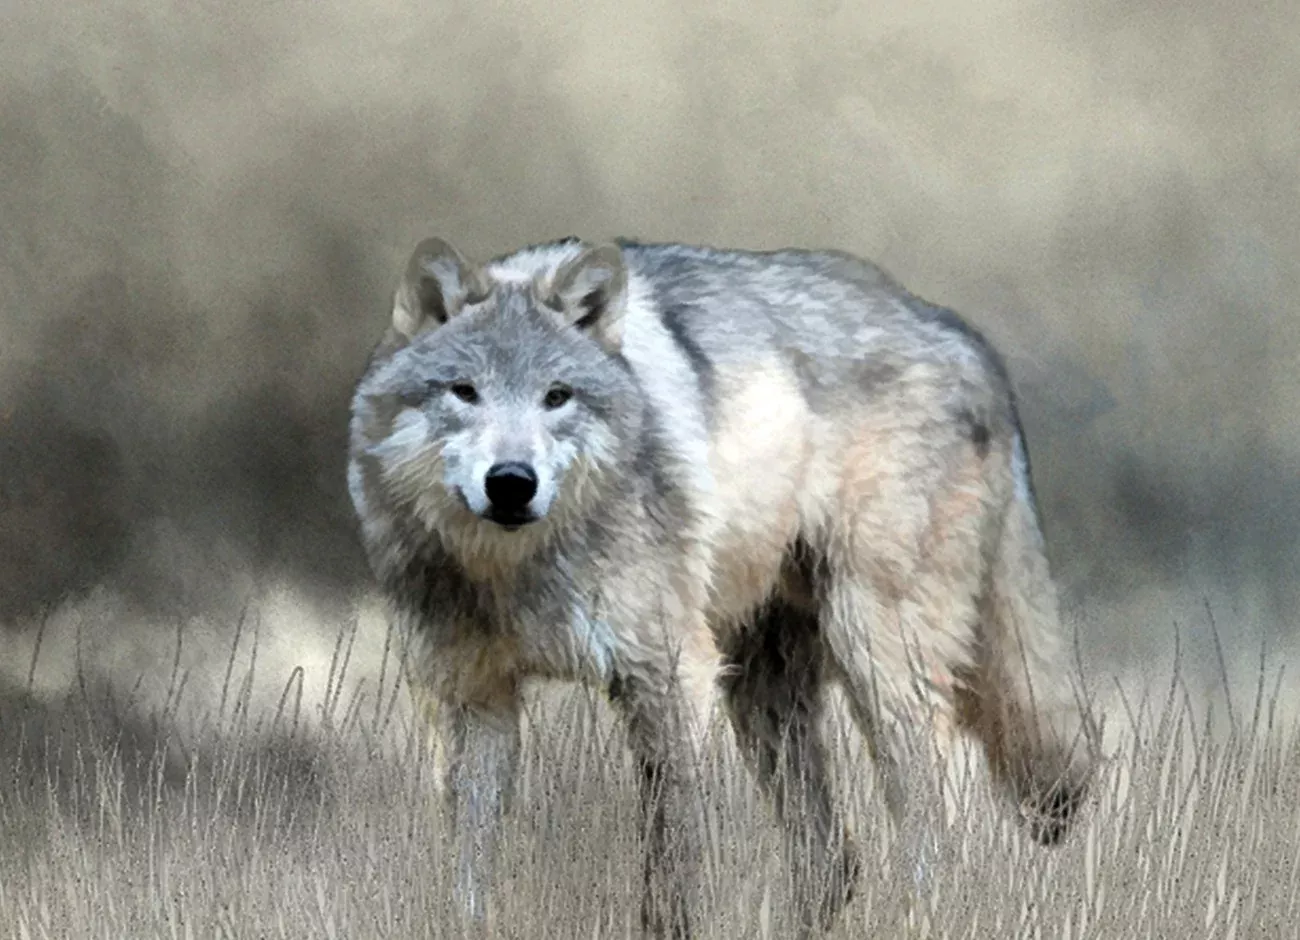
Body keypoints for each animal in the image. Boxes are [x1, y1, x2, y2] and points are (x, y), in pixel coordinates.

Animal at [346, 234, 1099, 938]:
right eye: (464, 391)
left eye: (556, 397)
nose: (510, 482)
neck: (515, 571)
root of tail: (955, 329)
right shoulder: (475, 699)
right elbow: (469, 870)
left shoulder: (670, 679)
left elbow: (672, 857)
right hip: (764, 699)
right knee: (835, 862)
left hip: (875, 660)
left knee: (935, 832)